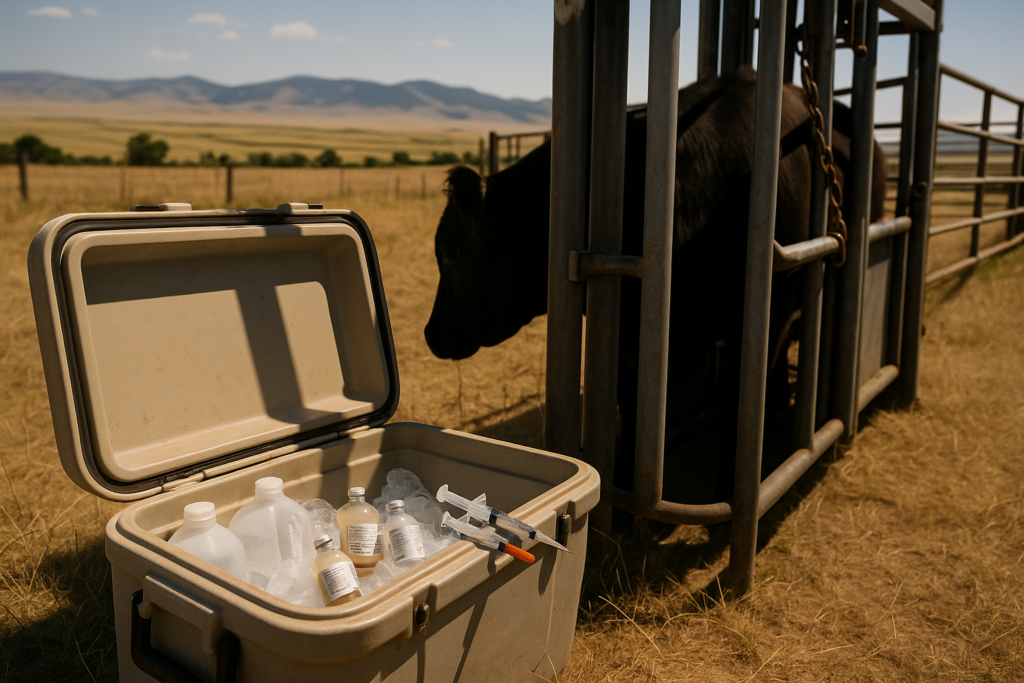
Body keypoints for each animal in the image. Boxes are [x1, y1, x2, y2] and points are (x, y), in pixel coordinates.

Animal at [424, 67, 886, 495]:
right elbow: (631, 406)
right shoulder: (626, 333)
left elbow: (741, 404)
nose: (430, 333)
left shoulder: (763, 318)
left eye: (450, 251)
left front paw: (730, 488)